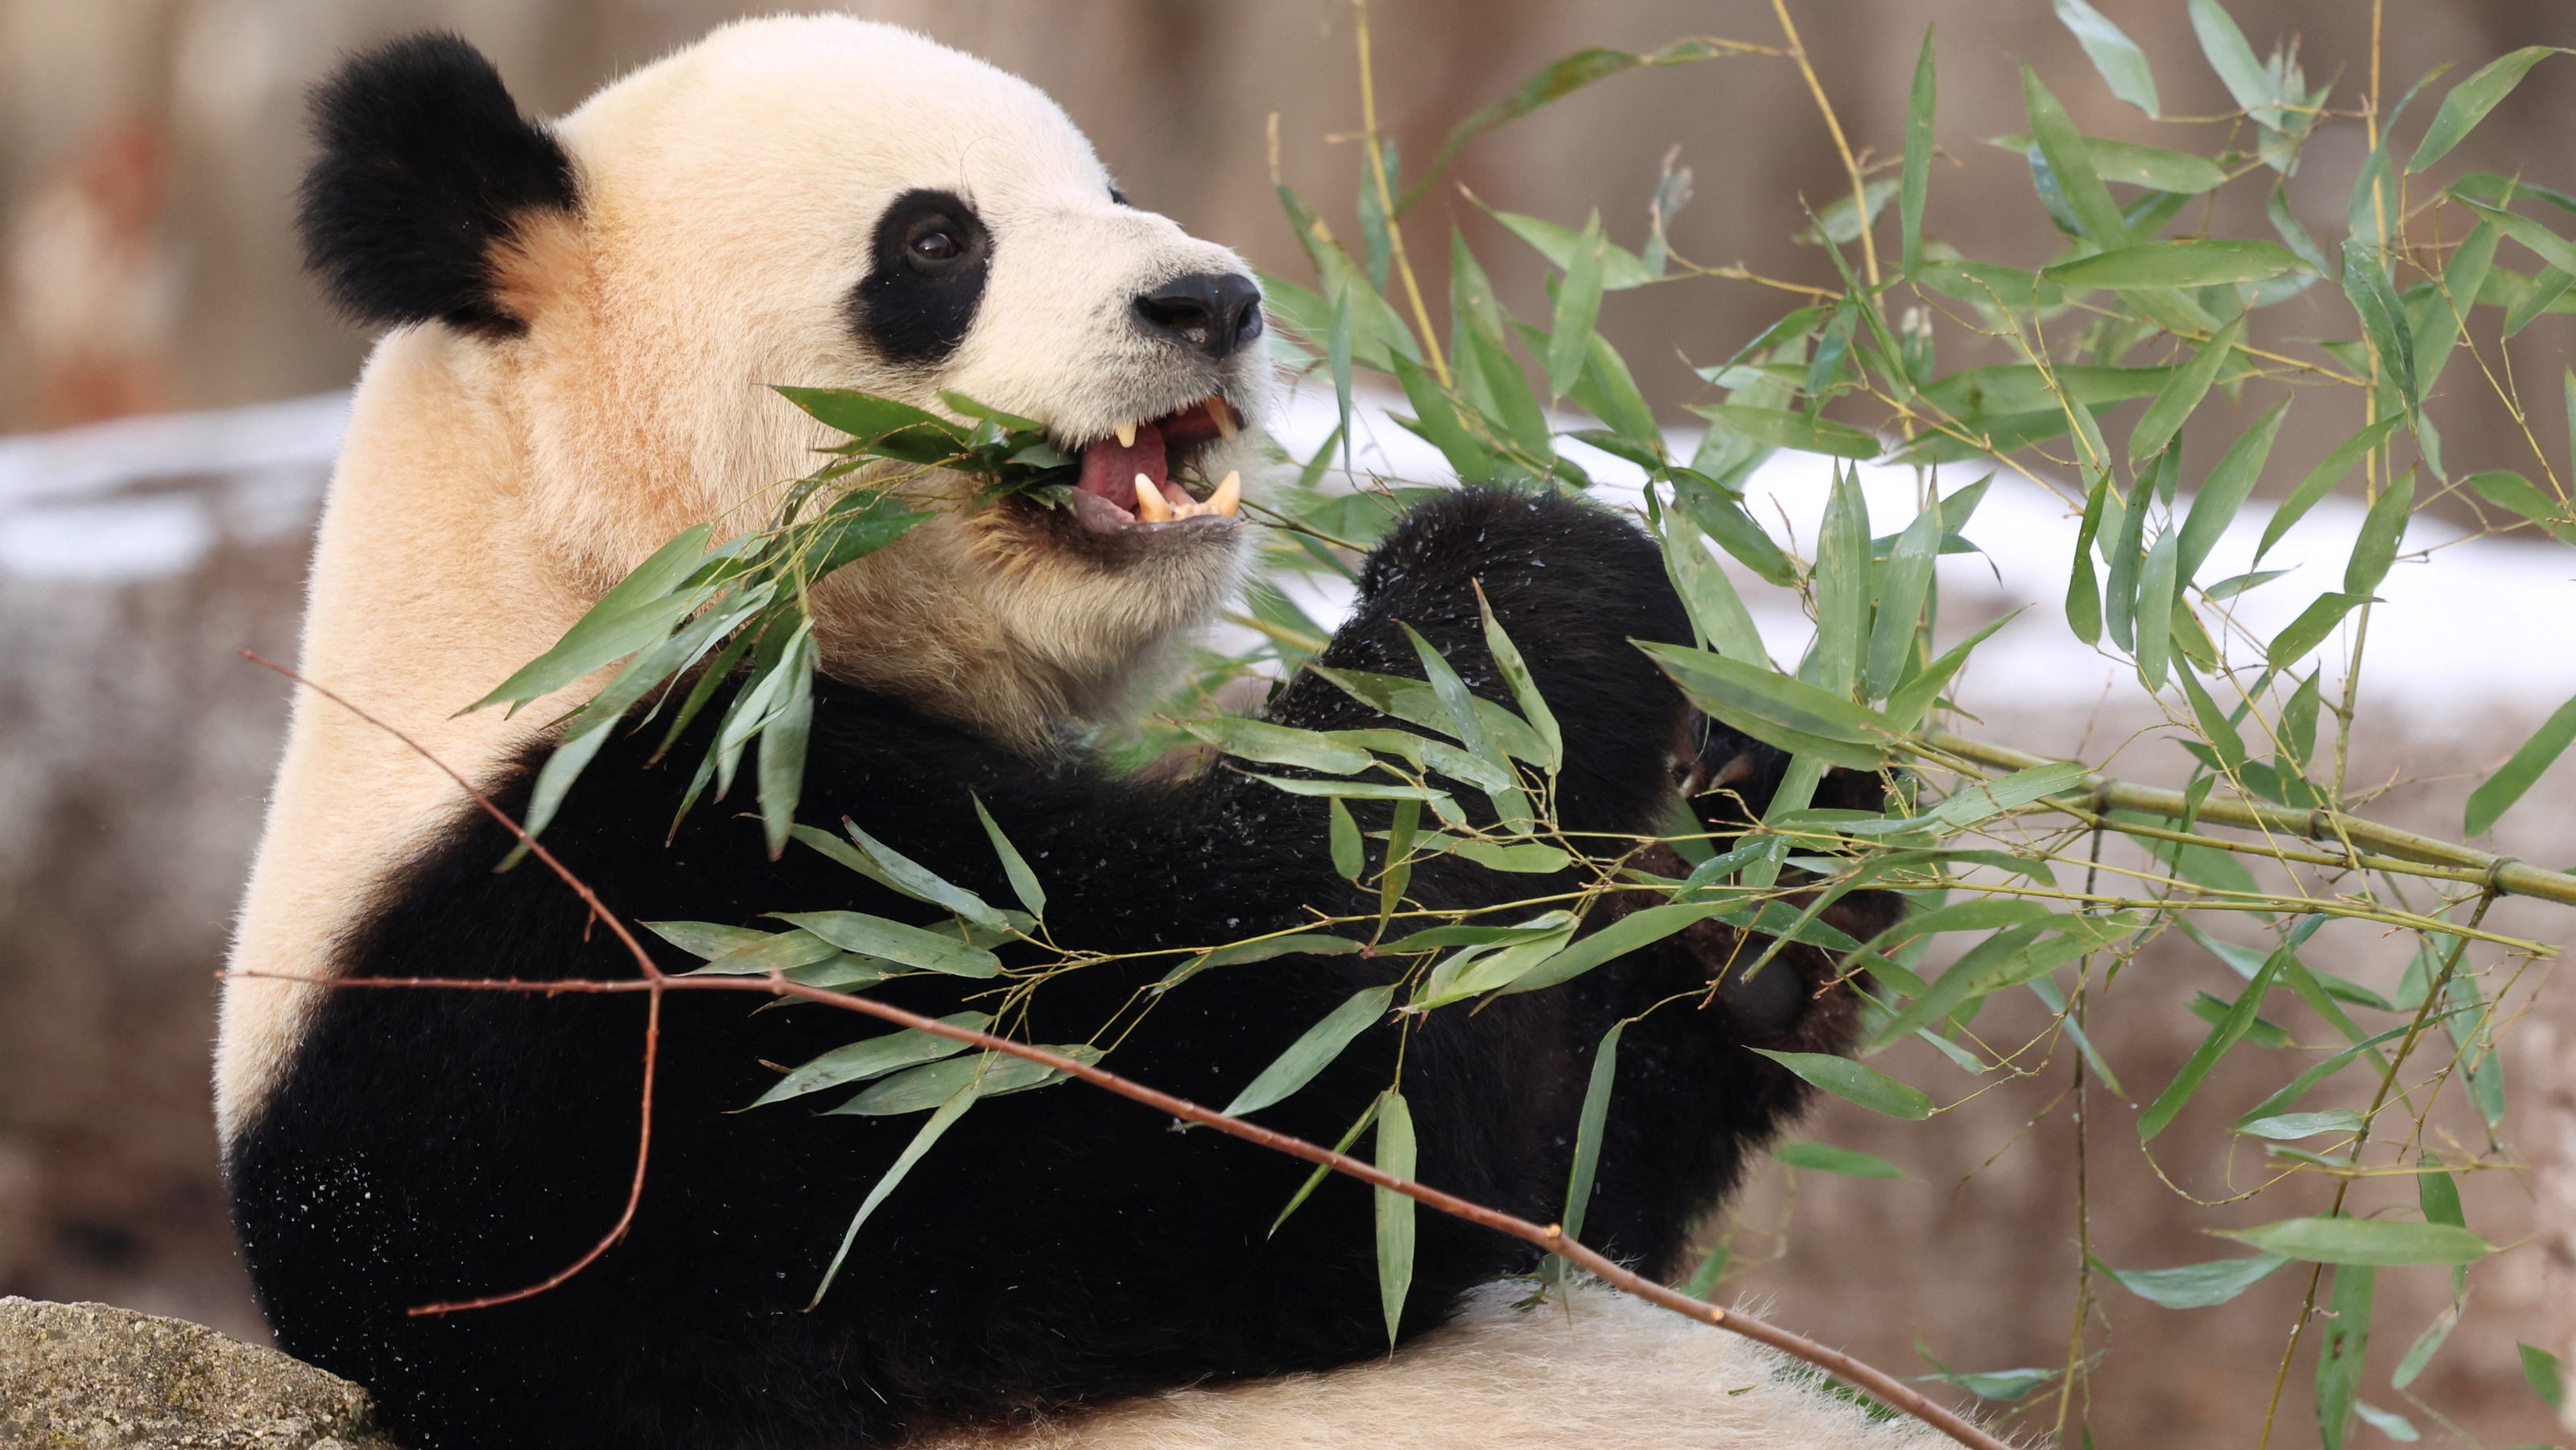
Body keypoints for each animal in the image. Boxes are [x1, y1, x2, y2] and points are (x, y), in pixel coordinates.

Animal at [215, 18, 1952, 1450]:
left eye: (1113, 187)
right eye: (934, 239)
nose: (1213, 299)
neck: (568, 581)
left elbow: (1559, 1157)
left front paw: (1776, 831)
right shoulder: (624, 963)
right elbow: (1273, 1098)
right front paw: (1519, 587)